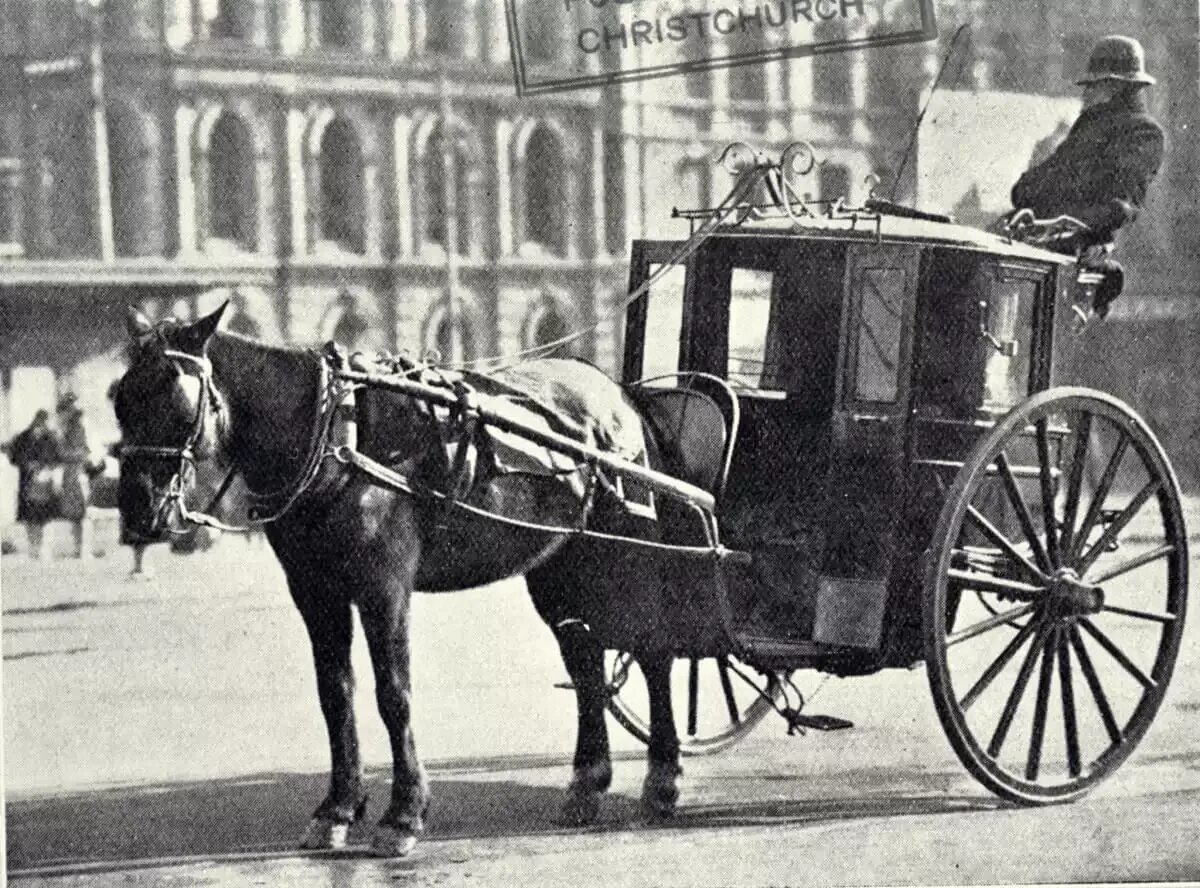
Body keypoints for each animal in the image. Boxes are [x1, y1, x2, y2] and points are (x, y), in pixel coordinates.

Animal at [118, 303, 696, 854]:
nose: (136, 511)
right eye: (121, 400)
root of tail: (621, 396)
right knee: (585, 662)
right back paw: (587, 783)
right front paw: (337, 808)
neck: (336, 435)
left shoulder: (384, 588)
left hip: (629, 557)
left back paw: (662, 777)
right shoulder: (315, 591)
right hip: (560, 567)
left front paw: (403, 814)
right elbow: (335, 694)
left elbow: (393, 695)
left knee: (653, 653)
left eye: (176, 400)